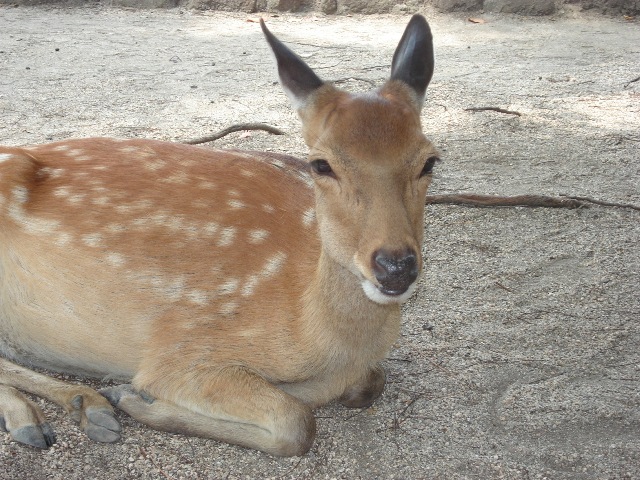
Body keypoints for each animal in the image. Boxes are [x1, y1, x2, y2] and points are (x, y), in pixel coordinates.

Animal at [0, 15, 438, 458]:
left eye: (430, 161)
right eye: (320, 164)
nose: (395, 266)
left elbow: (369, 383)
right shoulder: (184, 347)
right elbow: (296, 421)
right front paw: (135, 396)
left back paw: (84, 406)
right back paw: (49, 416)